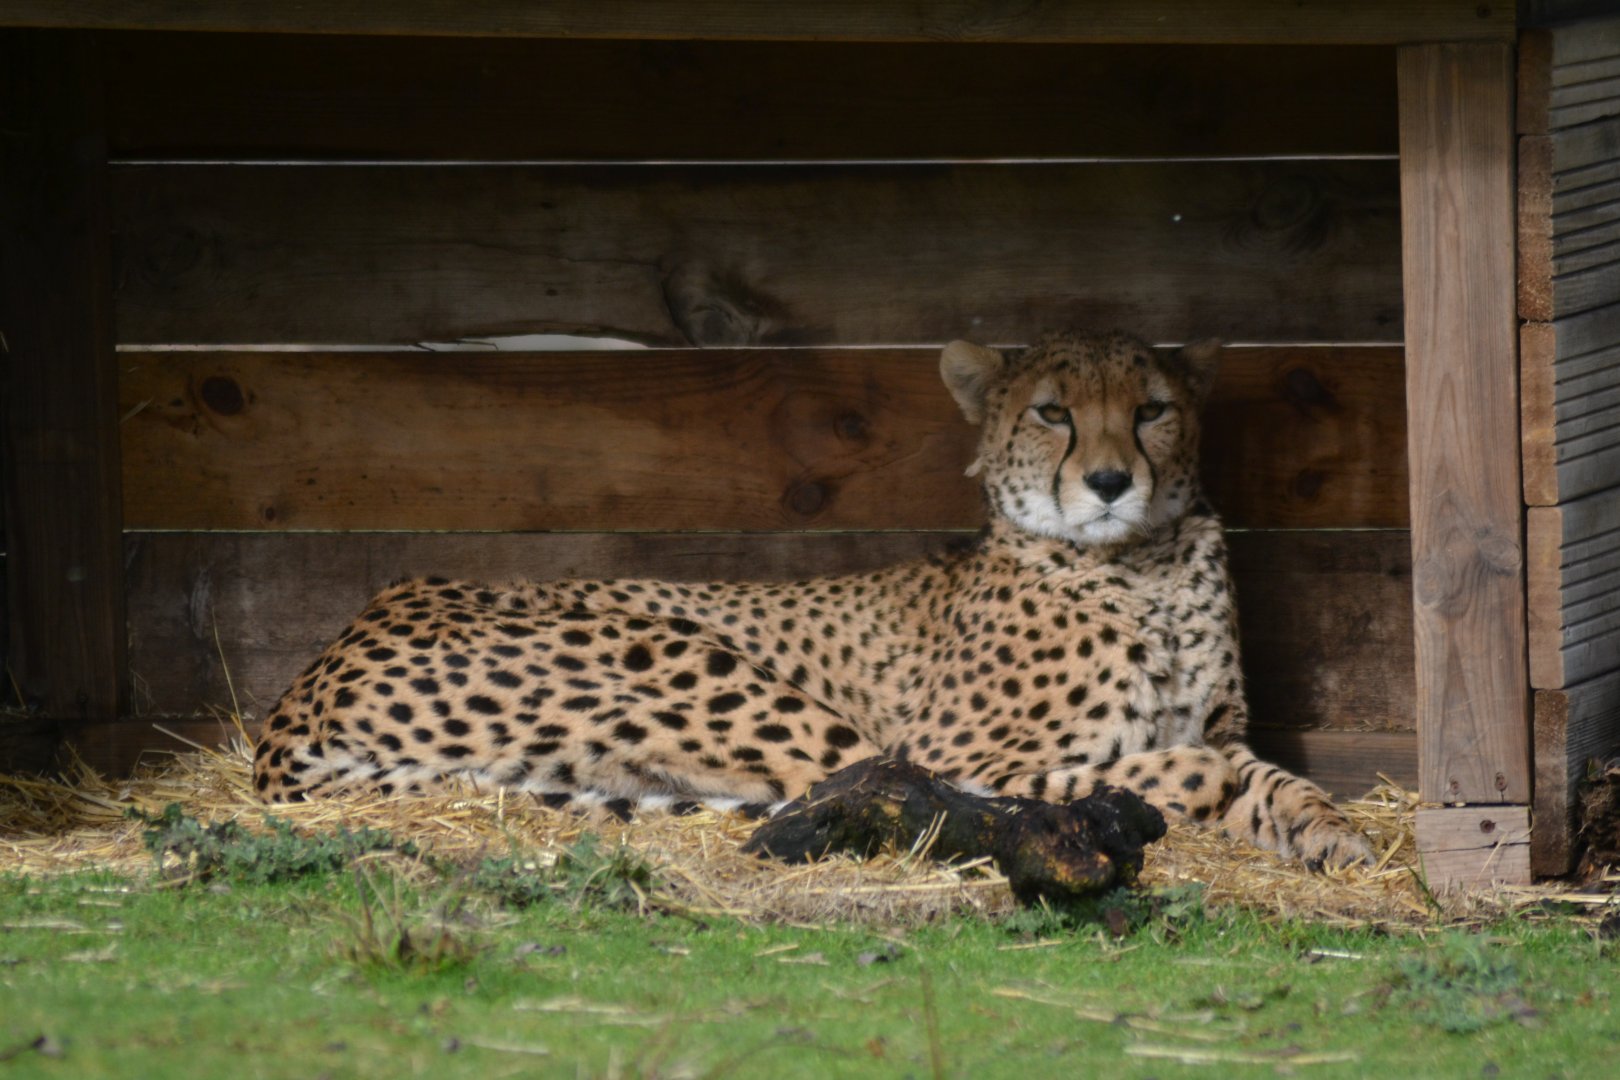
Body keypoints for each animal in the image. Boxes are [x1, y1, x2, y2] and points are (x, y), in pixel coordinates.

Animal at [253, 330, 1373, 869]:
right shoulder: (955, 748)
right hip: (694, 659)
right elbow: (1131, 768)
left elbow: (1267, 776)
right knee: (855, 787)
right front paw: (1180, 793)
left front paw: (1332, 834)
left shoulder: (1221, 720)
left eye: (1152, 411)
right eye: (1053, 413)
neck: (1143, 565)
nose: (1108, 482)